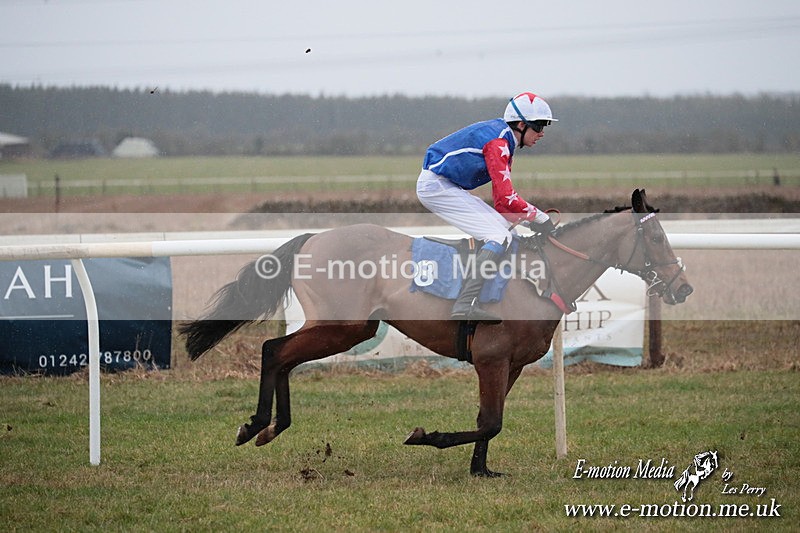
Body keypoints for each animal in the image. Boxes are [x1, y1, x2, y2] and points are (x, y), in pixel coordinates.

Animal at [179, 189, 692, 477]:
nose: (683, 287)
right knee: (274, 349)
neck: (541, 276)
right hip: (342, 326)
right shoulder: (491, 356)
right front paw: (427, 436)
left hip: (344, 327)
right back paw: (257, 425)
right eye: (657, 237)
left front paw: (481, 470)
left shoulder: (510, 364)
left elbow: (490, 420)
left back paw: (271, 427)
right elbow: (491, 421)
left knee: (283, 355)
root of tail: (313, 237)